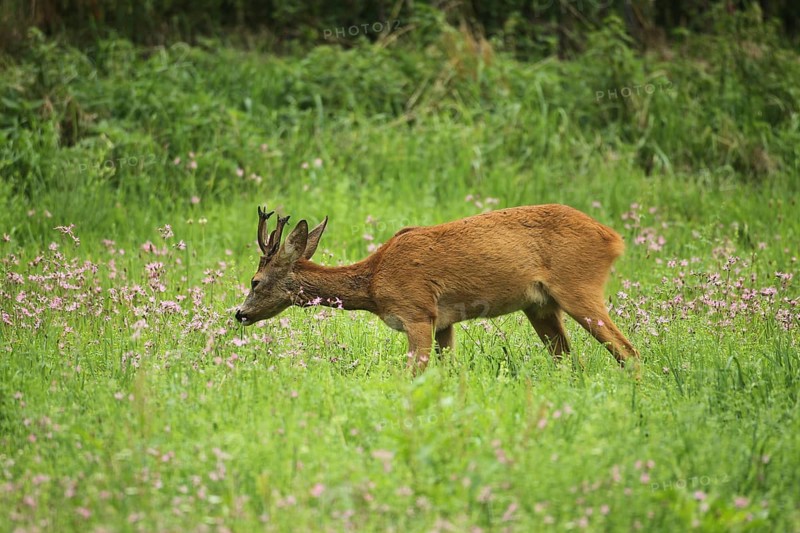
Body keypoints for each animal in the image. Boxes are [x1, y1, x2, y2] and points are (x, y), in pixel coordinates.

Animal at [235, 204, 640, 373]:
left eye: (255, 281)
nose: (239, 313)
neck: (374, 281)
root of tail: (614, 239)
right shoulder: (444, 322)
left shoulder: (417, 311)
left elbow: (415, 372)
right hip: (540, 305)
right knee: (569, 360)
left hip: (578, 286)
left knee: (628, 351)